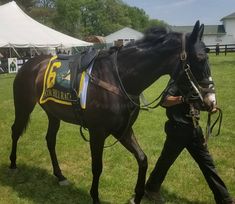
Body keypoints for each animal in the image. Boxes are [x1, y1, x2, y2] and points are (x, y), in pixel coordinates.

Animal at [9, 21, 216, 203]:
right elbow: (97, 167)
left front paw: (138, 196)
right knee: (16, 130)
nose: (210, 100)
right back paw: (12, 164)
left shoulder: (123, 130)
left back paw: (60, 175)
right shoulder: (97, 132)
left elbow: (143, 159)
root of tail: (29, 63)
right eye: (200, 58)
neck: (118, 78)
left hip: (53, 114)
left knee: (50, 140)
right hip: (23, 106)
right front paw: (95, 197)